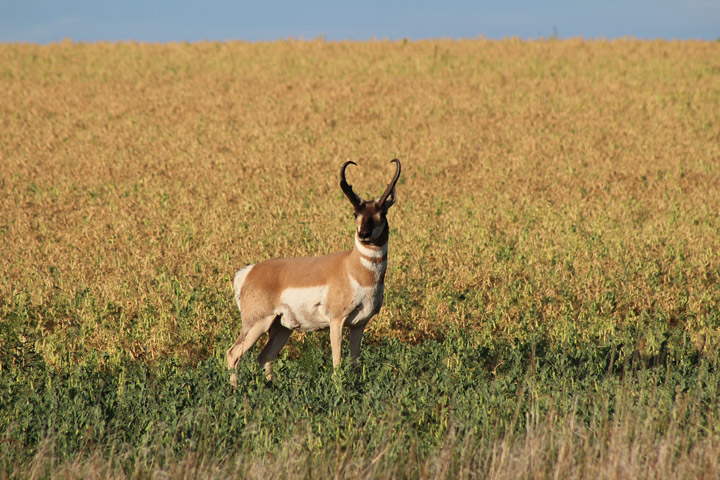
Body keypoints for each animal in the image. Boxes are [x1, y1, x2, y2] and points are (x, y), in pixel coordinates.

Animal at [227, 159, 402, 385]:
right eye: (355, 214)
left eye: (382, 214)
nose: (363, 235)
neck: (353, 268)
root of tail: (248, 272)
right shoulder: (336, 321)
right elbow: (337, 363)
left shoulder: (359, 324)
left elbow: (354, 362)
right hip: (258, 323)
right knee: (234, 353)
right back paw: (235, 389)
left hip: (281, 327)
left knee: (264, 356)